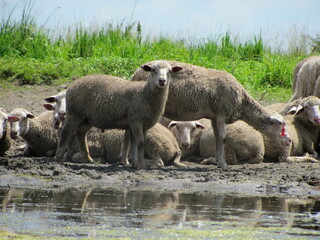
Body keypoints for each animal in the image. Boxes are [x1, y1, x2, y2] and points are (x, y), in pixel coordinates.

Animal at [53, 60, 181, 170]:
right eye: (153, 70)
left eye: (170, 71)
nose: (162, 81)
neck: (144, 93)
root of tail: (72, 84)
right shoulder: (136, 121)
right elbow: (140, 143)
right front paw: (140, 166)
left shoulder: (143, 124)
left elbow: (136, 144)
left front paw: (135, 163)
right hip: (75, 112)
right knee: (65, 132)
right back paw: (59, 159)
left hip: (87, 118)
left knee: (81, 133)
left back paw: (87, 158)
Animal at [132, 61, 284, 172]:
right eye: (281, 126)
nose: (288, 141)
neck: (242, 103)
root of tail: (135, 73)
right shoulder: (222, 113)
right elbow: (222, 138)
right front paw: (223, 165)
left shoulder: (214, 116)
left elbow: (217, 138)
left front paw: (218, 161)